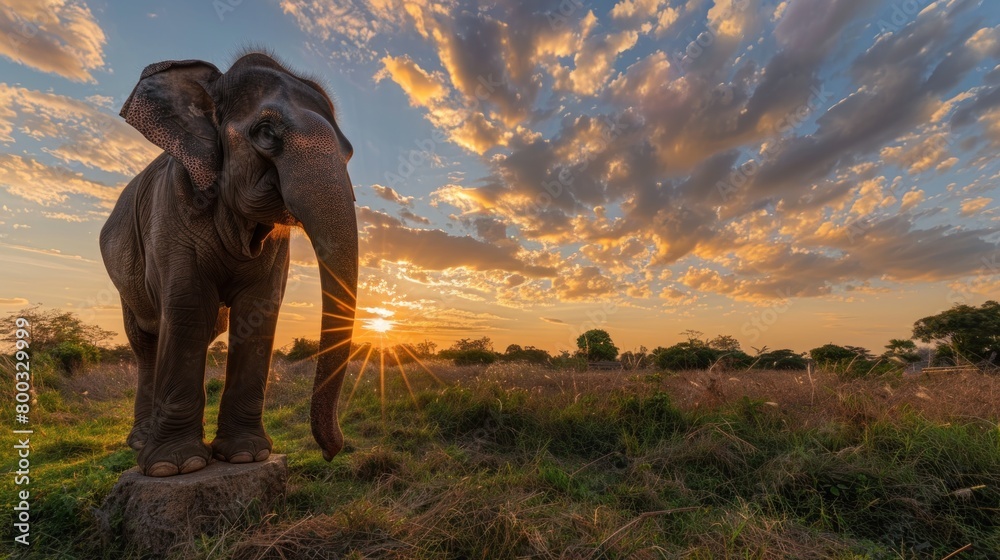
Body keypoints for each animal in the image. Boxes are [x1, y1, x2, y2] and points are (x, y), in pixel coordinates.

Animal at [99, 52, 358, 477]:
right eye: (266, 133)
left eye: (349, 153)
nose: (332, 451)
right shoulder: (172, 210)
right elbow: (187, 305)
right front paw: (177, 466)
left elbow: (257, 312)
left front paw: (244, 456)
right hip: (125, 282)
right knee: (146, 342)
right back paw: (142, 443)